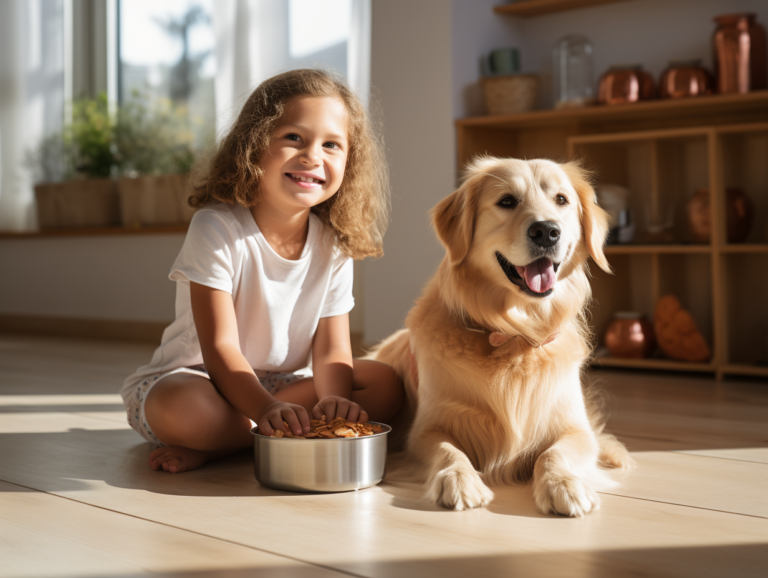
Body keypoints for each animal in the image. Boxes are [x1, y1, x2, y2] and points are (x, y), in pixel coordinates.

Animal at [370, 156, 632, 512]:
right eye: (507, 201)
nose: (547, 231)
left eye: (561, 200)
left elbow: (555, 453)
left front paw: (564, 484)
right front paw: (459, 479)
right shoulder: (426, 430)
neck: (515, 334)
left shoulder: (574, 428)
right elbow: (448, 450)